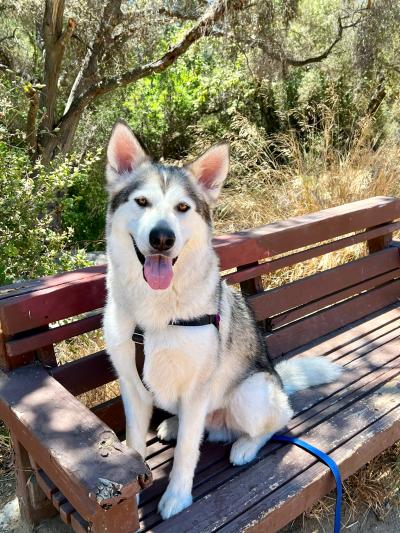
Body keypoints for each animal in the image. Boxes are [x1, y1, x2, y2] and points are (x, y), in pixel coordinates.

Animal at [103, 121, 340, 520]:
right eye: (142, 202)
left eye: (182, 208)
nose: (162, 237)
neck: (156, 310)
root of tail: (277, 378)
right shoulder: (133, 388)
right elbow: (135, 448)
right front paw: (131, 500)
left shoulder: (197, 388)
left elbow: (186, 452)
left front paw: (177, 497)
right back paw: (173, 423)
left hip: (250, 394)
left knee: (278, 420)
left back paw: (244, 446)